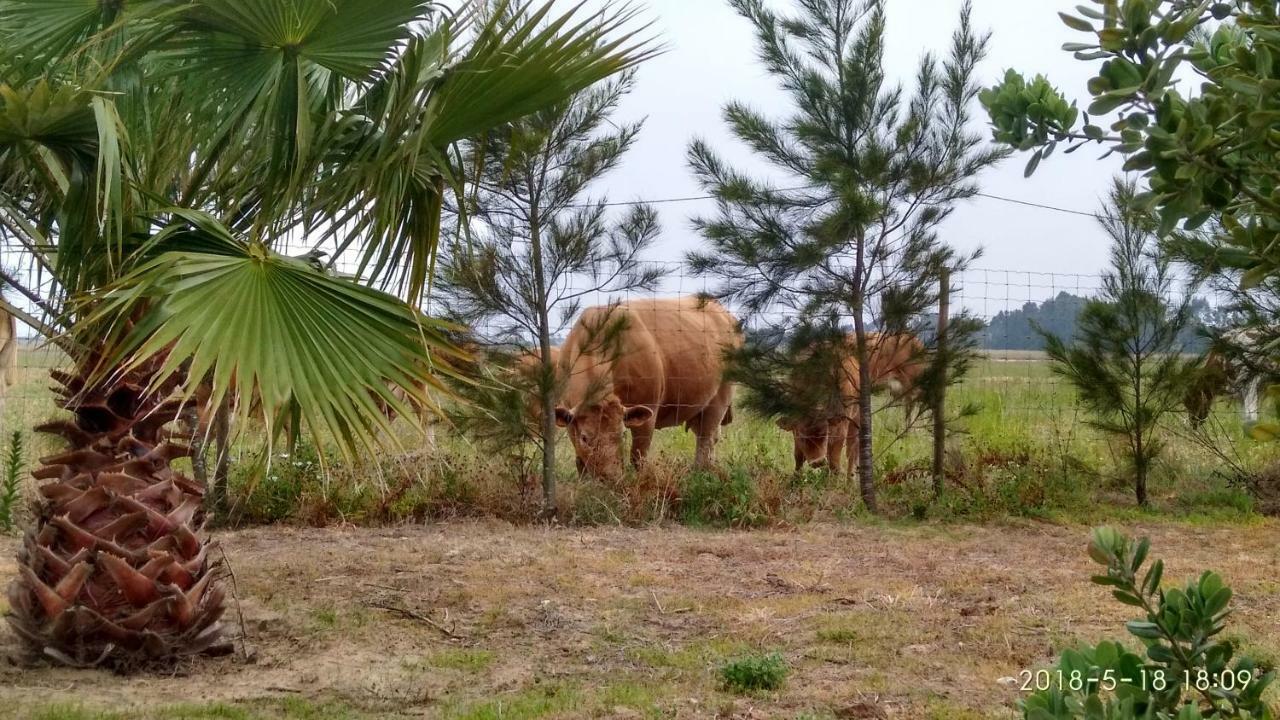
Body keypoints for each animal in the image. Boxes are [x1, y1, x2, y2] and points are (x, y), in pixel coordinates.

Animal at [555, 294, 747, 479]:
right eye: (584, 438)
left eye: (622, 434)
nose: (611, 476)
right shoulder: (570, 420)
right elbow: (580, 461)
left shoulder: (648, 414)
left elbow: (638, 458)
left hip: (720, 398)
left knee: (705, 439)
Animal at [773, 333, 926, 474]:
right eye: (802, 436)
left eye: (824, 434)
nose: (818, 462)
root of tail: (915, 340)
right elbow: (798, 457)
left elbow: (835, 460)